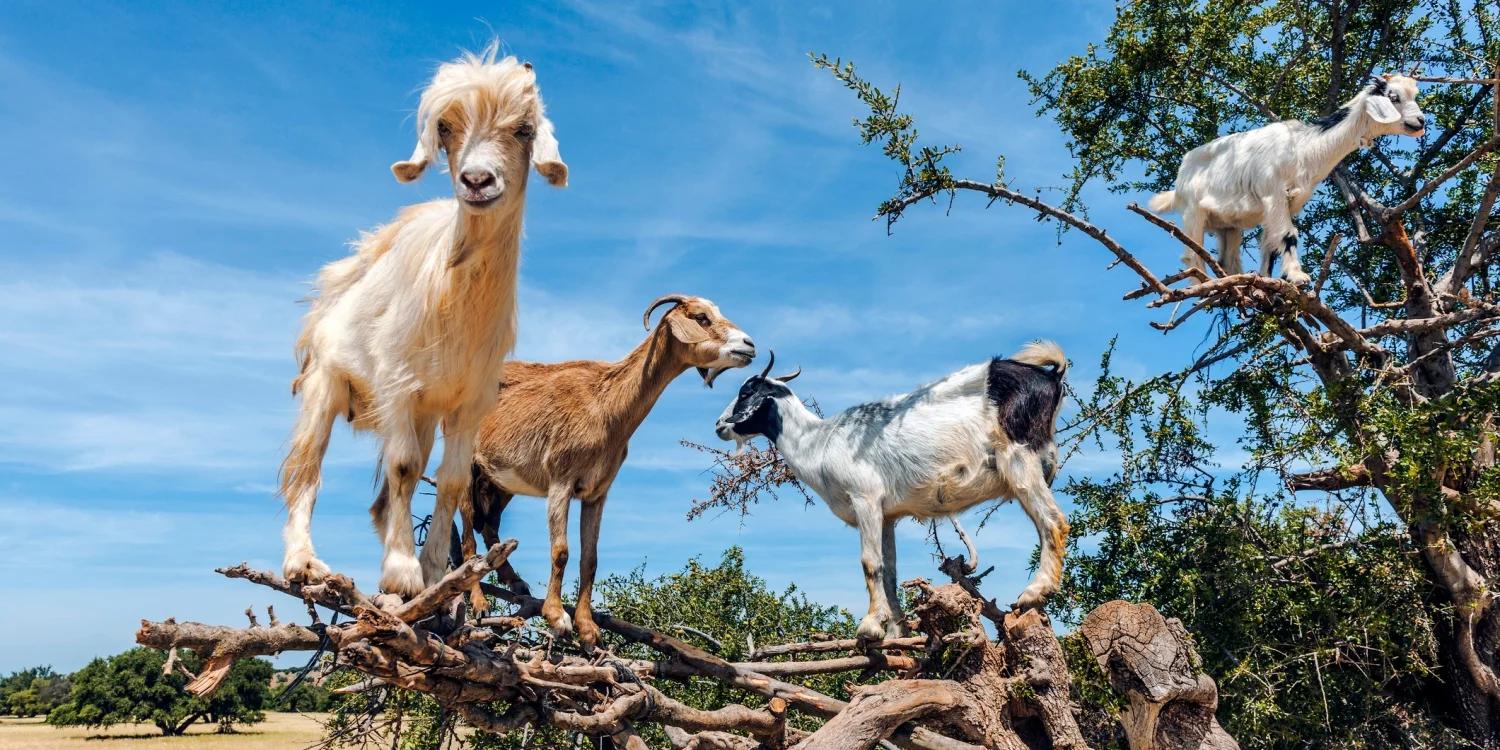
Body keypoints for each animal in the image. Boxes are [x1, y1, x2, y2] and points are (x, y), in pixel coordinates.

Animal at [279, 47, 568, 597]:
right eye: (445, 128)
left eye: (524, 129)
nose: (477, 181)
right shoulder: (397, 385)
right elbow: (404, 466)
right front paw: (401, 572)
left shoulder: (468, 401)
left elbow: (451, 480)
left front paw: (435, 571)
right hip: (325, 383)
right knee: (305, 470)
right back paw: (303, 563)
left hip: (425, 414)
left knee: (381, 498)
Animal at [464, 294, 755, 647]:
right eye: (701, 317)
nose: (749, 345)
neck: (605, 403)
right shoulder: (561, 481)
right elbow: (561, 551)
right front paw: (557, 617)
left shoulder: (597, 491)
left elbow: (590, 559)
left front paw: (588, 628)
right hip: (465, 467)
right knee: (466, 535)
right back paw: (479, 602)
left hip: (500, 481)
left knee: (488, 526)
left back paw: (516, 583)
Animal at [715, 343, 1070, 641]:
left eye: (746, 391)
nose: (719, 425)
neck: (819, 442)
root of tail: (1051, 376)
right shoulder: (887, 515)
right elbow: (889, 571)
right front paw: (896, 631)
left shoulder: (865, 498)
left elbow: (870, 563)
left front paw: (870, 627)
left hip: (1019, 458)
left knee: (1052, 521)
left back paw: (1034, 592)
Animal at [1150, 75, 1426, 284]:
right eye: (1393, 97)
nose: (1420, 121)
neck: (1303, 147)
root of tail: (1179, 180)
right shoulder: (1273, 193)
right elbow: (1288, 235)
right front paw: (1298, 277)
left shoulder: (1290, 202)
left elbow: (1271, 243)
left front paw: (1268, 279)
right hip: (1192, 212)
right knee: (1192, 254)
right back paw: (1206, 285)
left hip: (1229, 224)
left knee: (1227, 257)